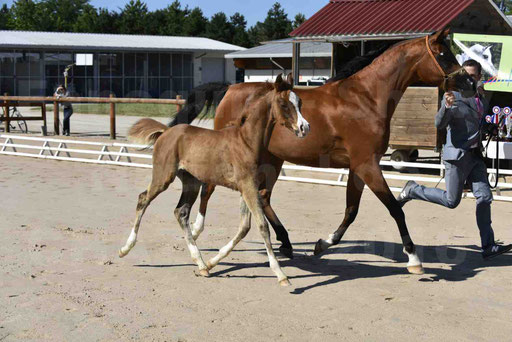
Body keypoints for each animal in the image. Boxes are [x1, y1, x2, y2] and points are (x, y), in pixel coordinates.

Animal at [118, 74, 310, 286]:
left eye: (300, 102)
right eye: (284, 104)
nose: (304, 128)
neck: (247, 142)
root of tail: (165, 132)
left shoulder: (248, 189)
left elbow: (244, 227)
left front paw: (212, 262)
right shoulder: (248, 187)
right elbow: (262, 226)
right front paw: (281, 274)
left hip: (191, 182)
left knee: (181, 212)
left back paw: (201, 264)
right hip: (163, 177)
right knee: (143, 199)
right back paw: (125, 248)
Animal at [168, 29, 476, 276]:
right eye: (443, 54)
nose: (470, 84)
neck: (365, 98)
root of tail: (230, 89)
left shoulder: (358, 167)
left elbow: (351, 210)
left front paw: (322, 244)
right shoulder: (368, 165)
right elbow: (394, 209)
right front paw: (413, 258)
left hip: (271, 160)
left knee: (263, 198)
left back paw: (285, 242)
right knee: (208, 188)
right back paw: (197, 230)